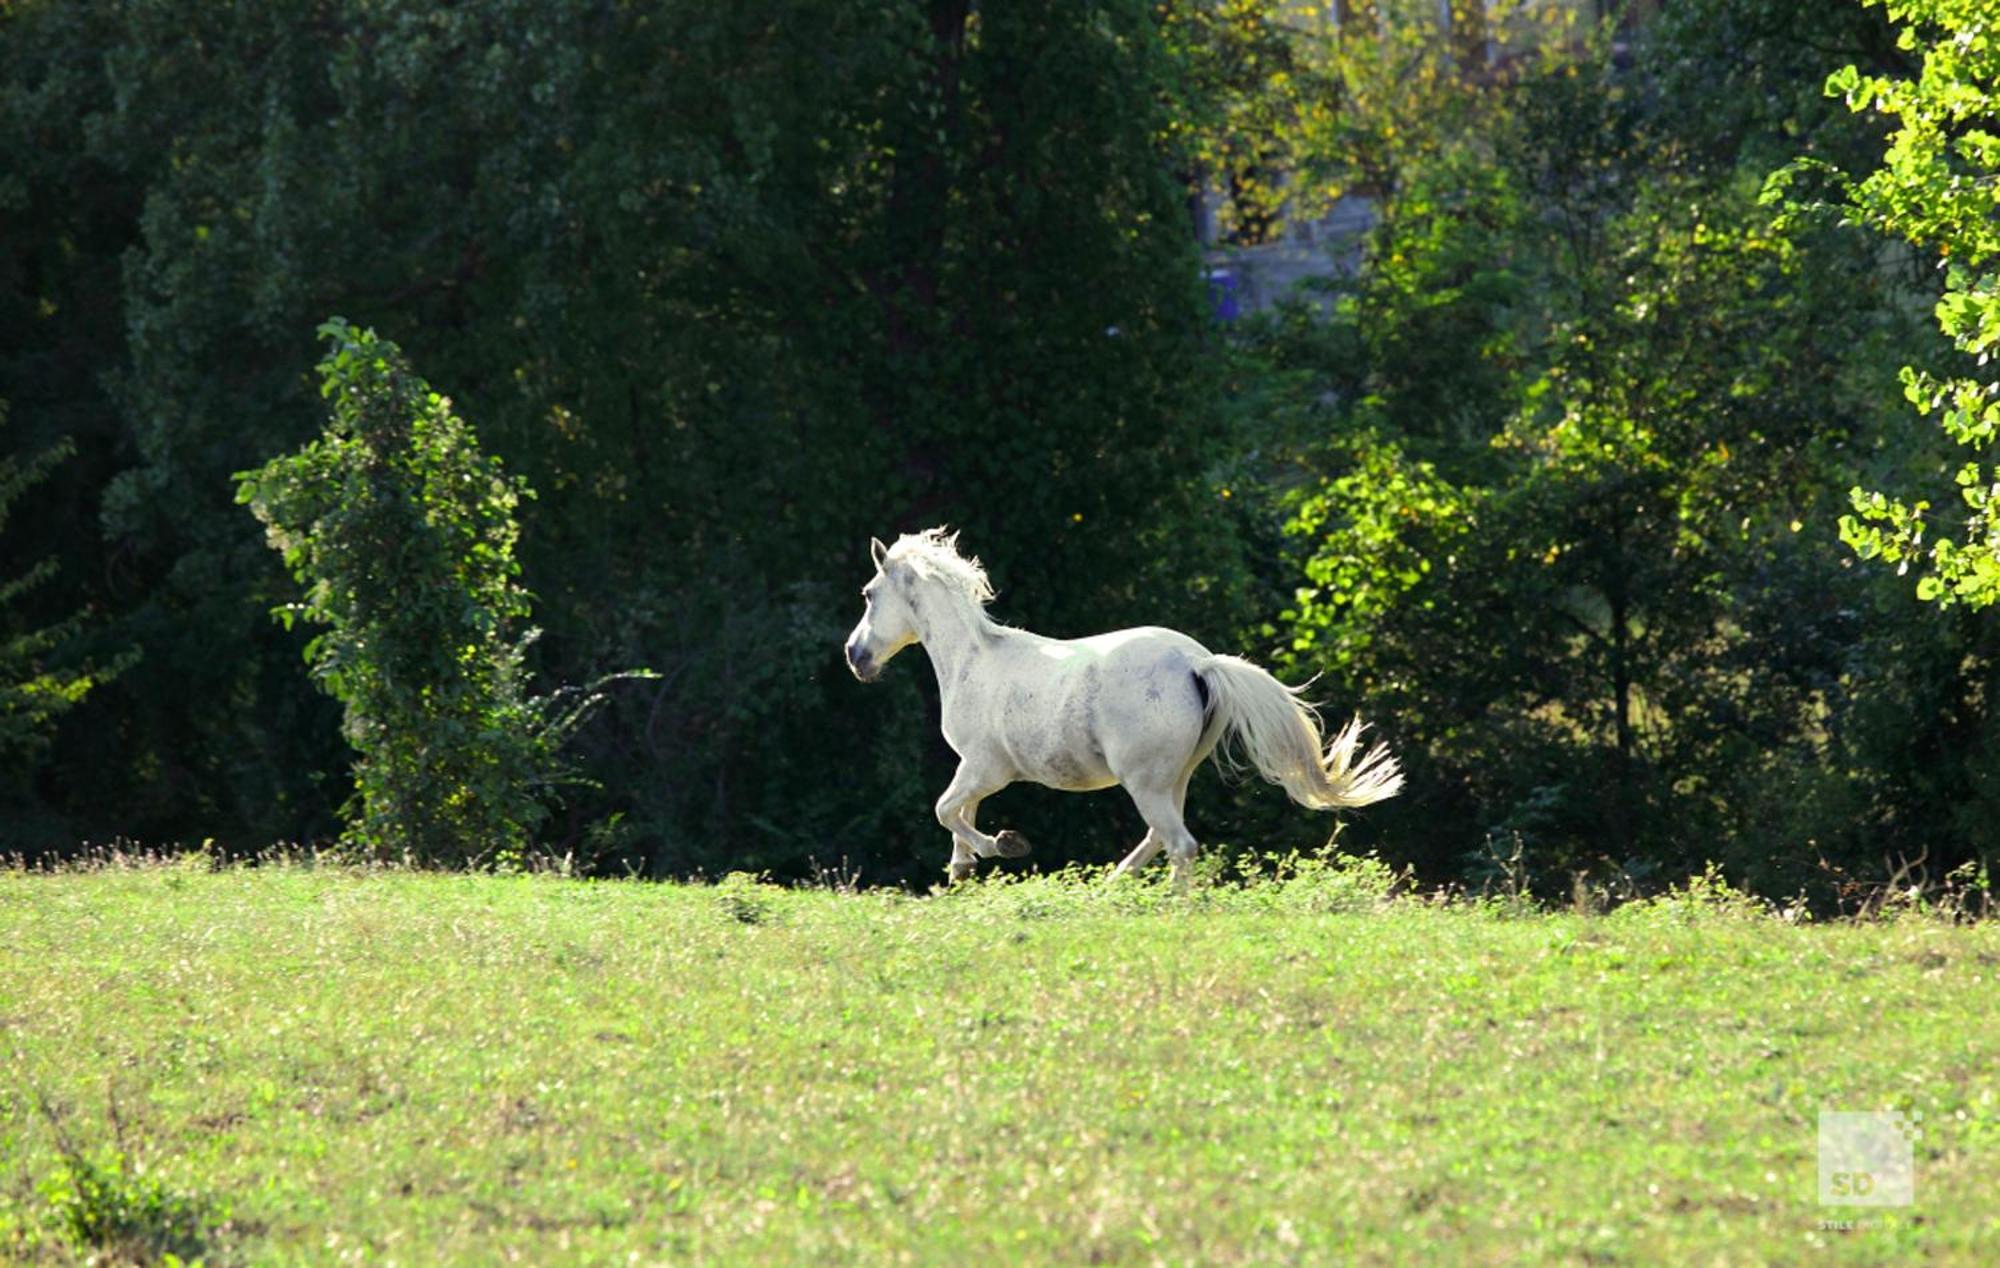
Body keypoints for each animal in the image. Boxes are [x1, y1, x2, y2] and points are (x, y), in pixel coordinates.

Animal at [836, 520, 1400, 880]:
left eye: (867, 593)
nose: (854, 657)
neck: (973, 660)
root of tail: (1198, 663)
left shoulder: (985, 767)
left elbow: (945, 810)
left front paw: (1004, 845)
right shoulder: (973, 770)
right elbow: (957, 818)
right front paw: (964, 871)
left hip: (1146, 781)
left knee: (1179, 844)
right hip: (1173, 777)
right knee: (1159, 840)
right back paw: (1108, 891)